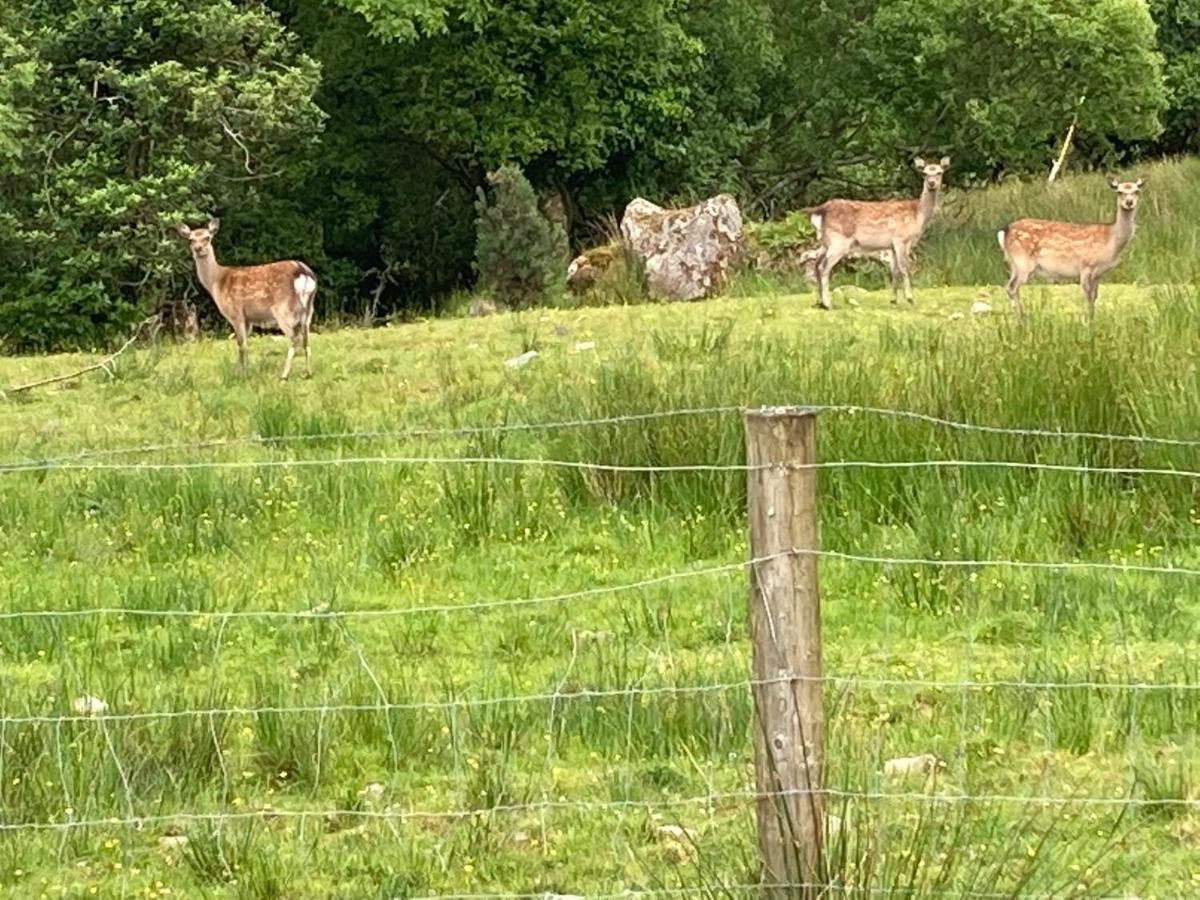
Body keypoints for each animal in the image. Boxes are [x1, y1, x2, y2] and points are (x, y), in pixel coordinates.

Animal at [175, 219, 316, 381]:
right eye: (191, 239)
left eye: (207, 237)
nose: (198, 248)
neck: (216, 282)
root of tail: (304, 272)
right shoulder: (248, 318)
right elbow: (246, 343)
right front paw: (243, 370)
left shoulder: (235, 312)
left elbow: (241, 344)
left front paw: (241, 374)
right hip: (308, 310)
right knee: (306, 339)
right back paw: (308, 372)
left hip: (283, 308)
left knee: (294, 338)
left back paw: (284, 375)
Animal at [801, 156, 950, 309]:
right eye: (924, 173)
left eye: (939, 172)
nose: (931, 183)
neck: (918, 216)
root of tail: (819, 211)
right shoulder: (901, 239)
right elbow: (904, 267)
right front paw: (910, 298)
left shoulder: (891, 246)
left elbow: (894, 270)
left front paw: (893, 300)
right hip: (839, 241)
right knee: (824, 266)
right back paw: (828, 303)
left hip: (826, 241)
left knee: (816, 264)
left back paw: (819, 302)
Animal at [998, 176, 1147, 324]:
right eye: (1119, 191)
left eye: (1137, 191)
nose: (1129, 202)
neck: (1111, 240)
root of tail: (1005, 231)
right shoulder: (1086, 265)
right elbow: (1087, 295)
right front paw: (1086, 322)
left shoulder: (1099, 273)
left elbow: (1095, 296)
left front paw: (1092, 319)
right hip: (1023, 262)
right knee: (1011, 287)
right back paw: (1021, 321)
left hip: (1014, 264)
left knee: (1012, 287)